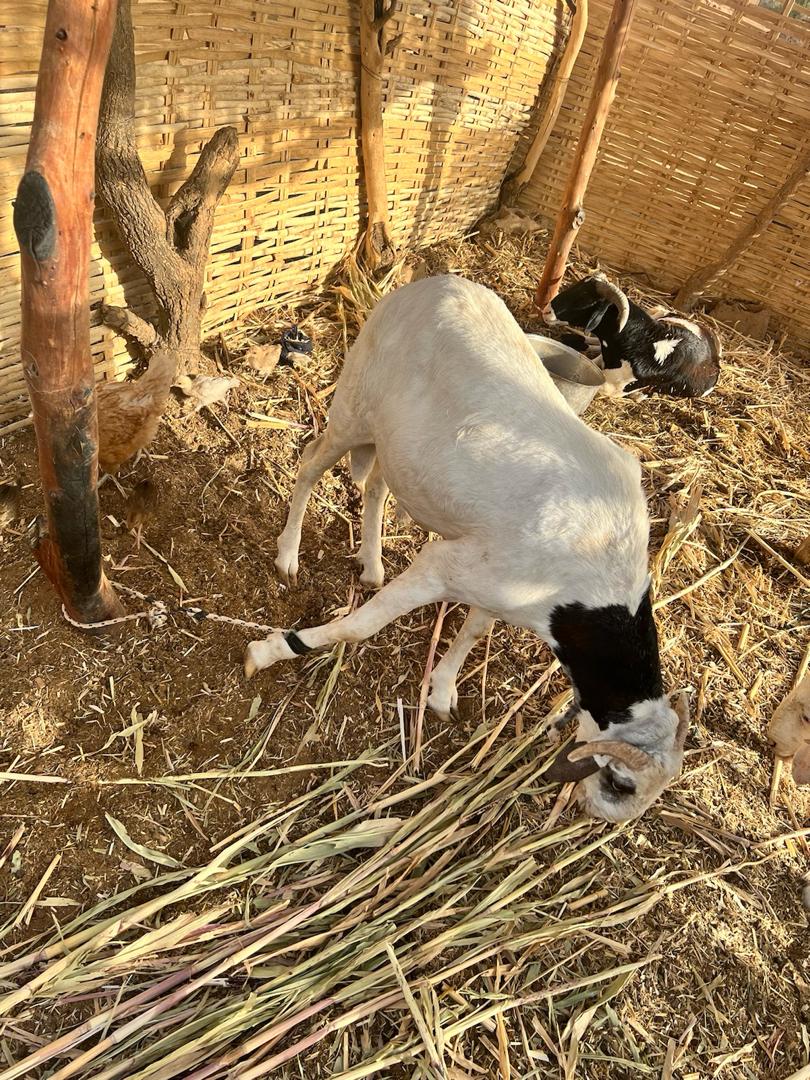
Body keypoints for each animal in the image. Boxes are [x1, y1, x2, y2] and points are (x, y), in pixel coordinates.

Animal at [244, 275, 690, 823]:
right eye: (621, 782)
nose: (596, 814)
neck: (595, 584)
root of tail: (437, 281)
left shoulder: (495, 588)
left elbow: (475, 631)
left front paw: (442, 691)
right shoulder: (442, 566)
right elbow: (360, 626)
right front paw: (272, 650)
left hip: (398, 444)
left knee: (377, 485)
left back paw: (370, 561)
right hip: (354, 405)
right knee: (309, 465)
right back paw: (288, 554)